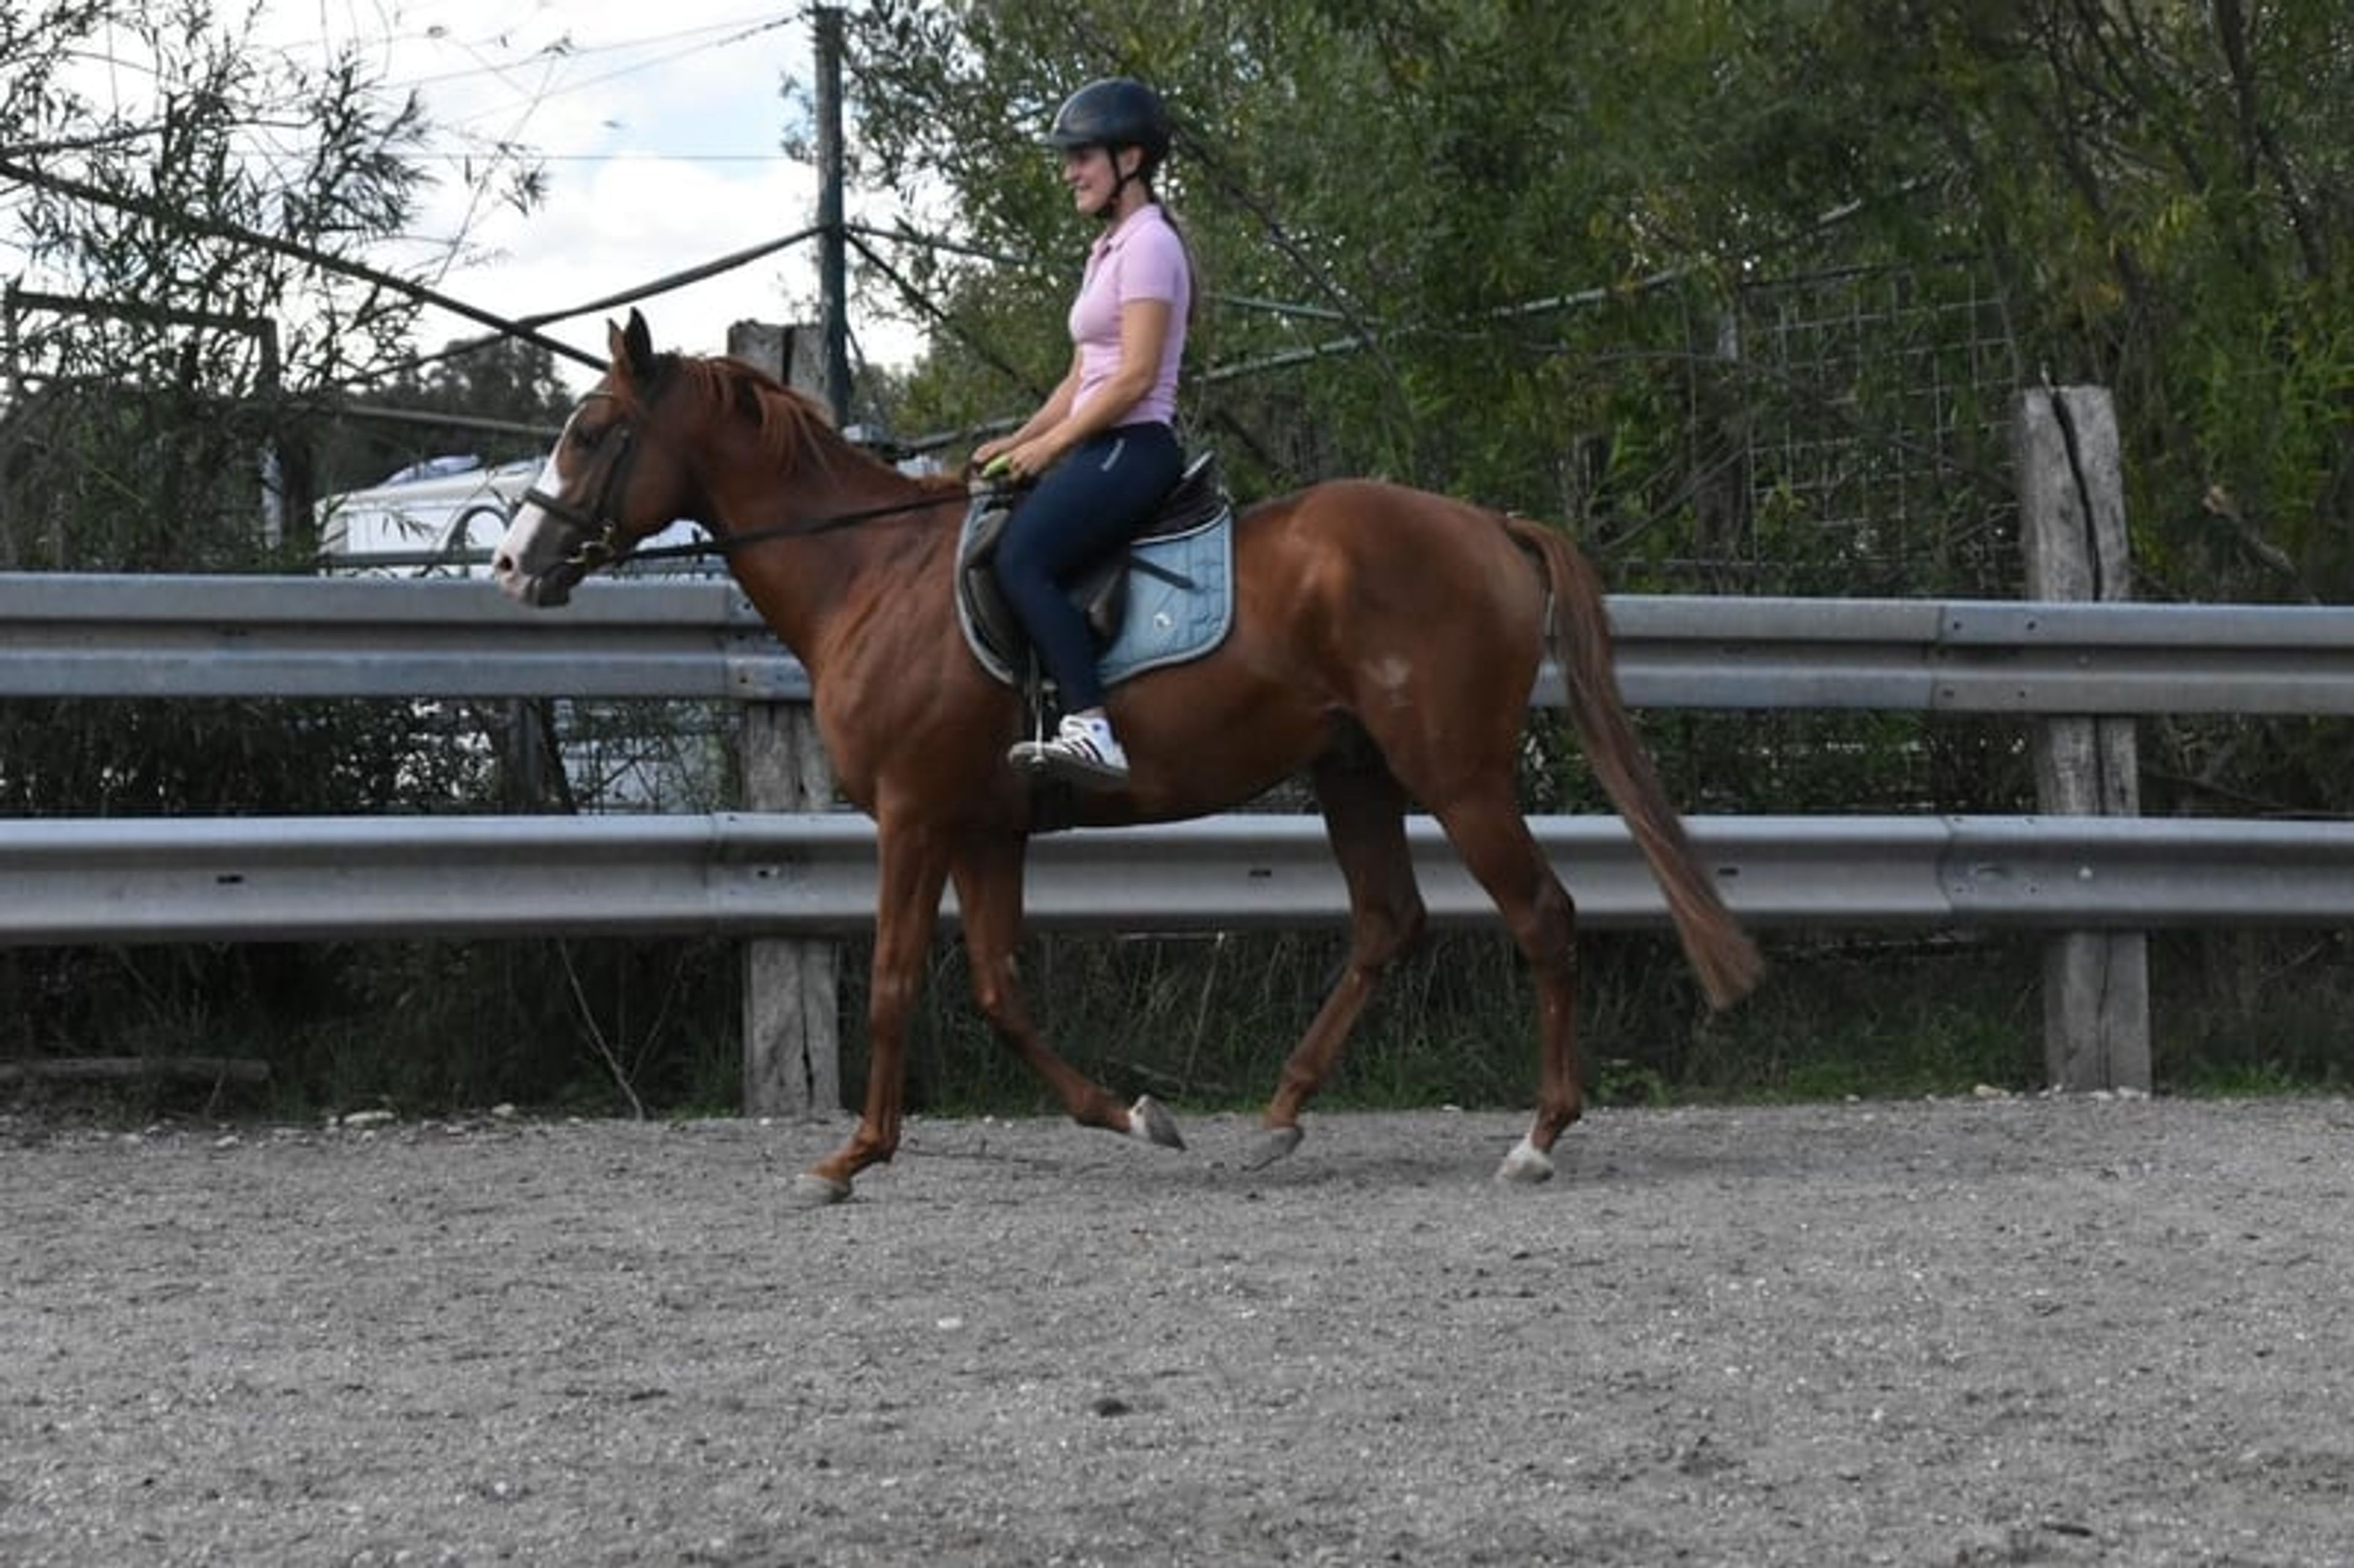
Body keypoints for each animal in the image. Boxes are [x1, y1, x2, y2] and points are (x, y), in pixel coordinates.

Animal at [493, 310, 1762, 1206]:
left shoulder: (913, 814)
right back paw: (1280, 1116)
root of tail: (1488, 524)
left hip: (1456, 775)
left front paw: (851, 1154)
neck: (872, 577)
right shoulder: (986, 825)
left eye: (592, 434)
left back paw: (1537, 1137)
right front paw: (1134, 1115)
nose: (511, 564)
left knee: (1541, 915)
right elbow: (999, 989)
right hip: (1354, 772)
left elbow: (898, 980)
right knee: (1388, 923)